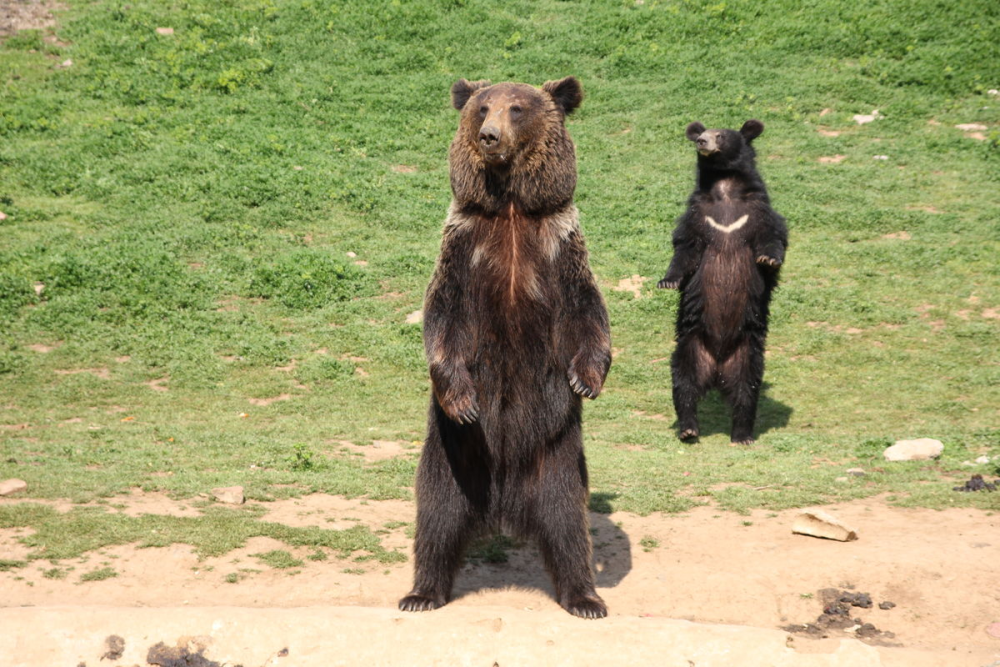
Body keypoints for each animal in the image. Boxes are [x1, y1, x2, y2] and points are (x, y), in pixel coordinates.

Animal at [398, 75, 608, 620]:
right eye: (482, 107)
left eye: (517, 108)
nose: (489, 135)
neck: (511, 208)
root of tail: (504, 507)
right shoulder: (465, 246)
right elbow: (442, 319)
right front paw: (464, 400)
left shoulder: (558, 245)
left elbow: (588, 311)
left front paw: (587, 379)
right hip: (454, 455)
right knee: (437, 513)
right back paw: (421, 592)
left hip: (556, 454)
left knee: (568, 520)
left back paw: (585, 597)